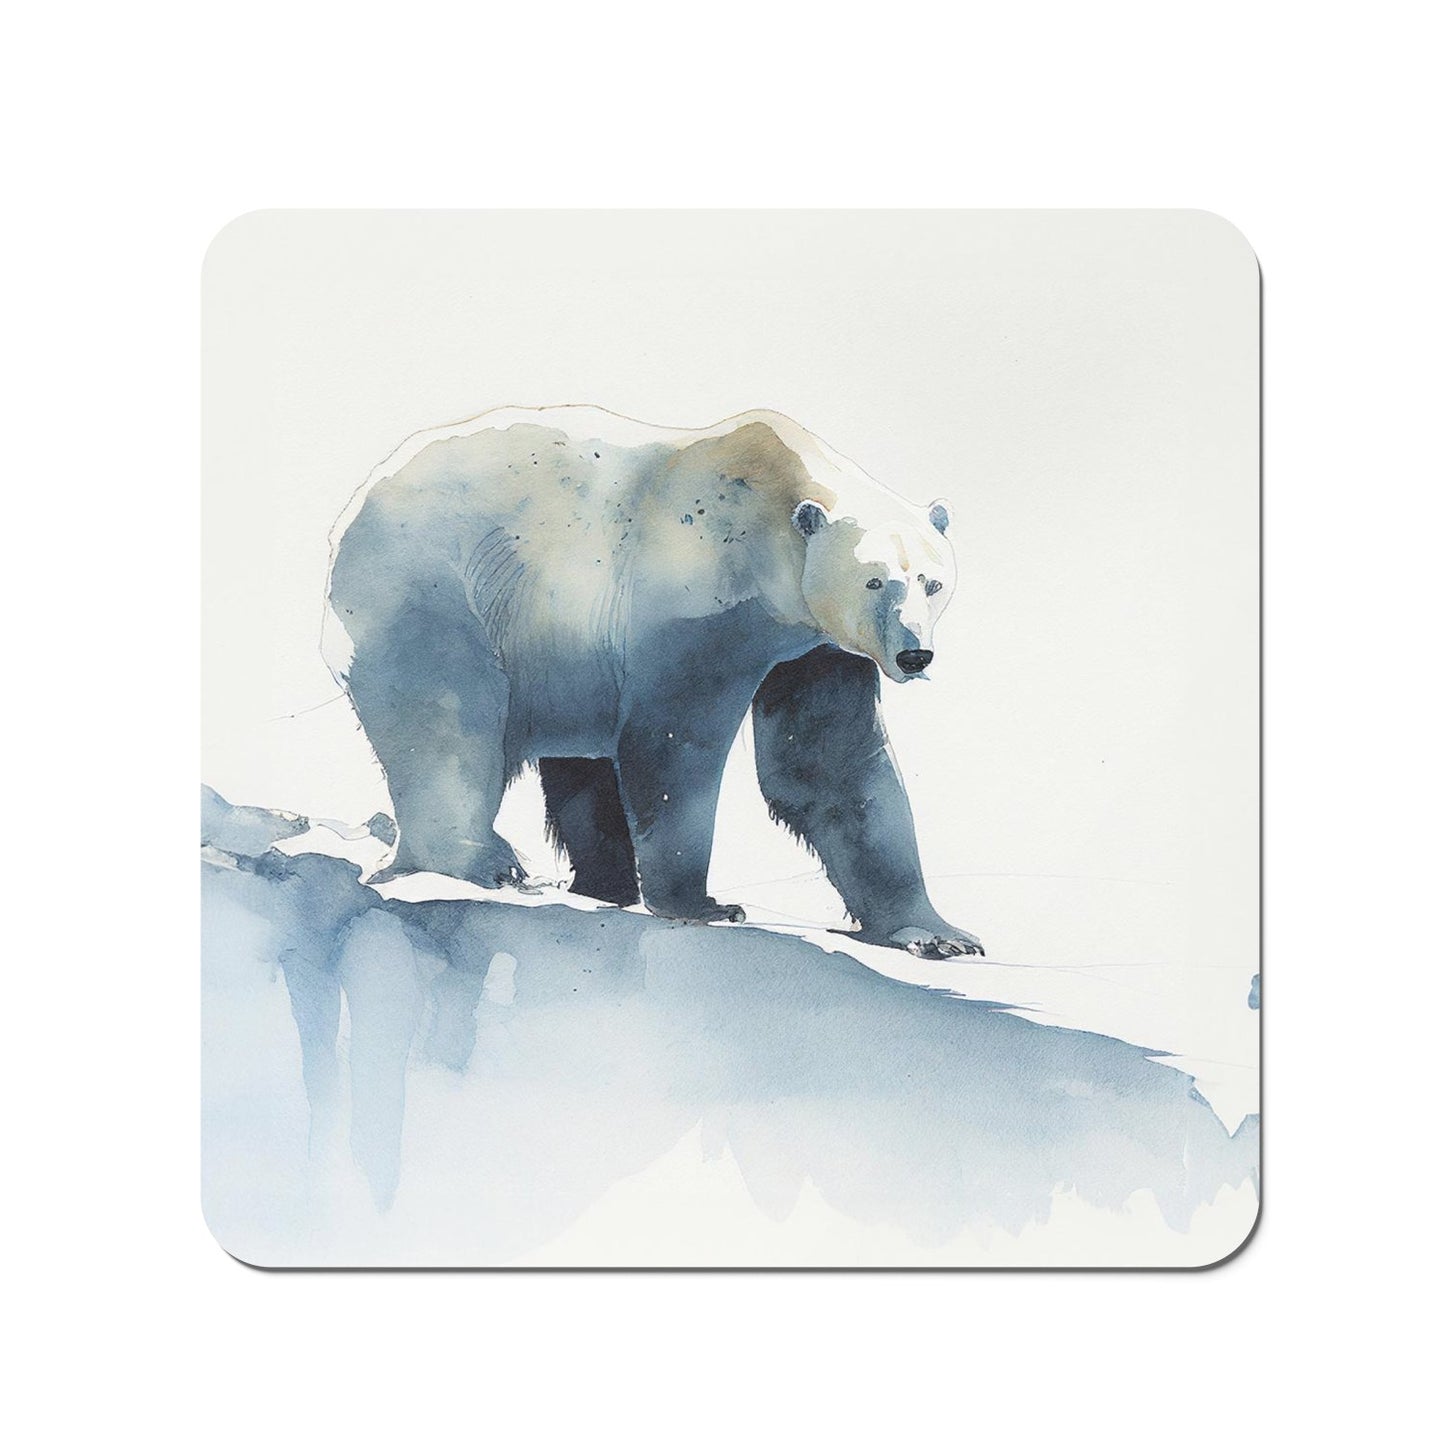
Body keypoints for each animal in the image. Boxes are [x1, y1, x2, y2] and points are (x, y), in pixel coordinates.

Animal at [325, 405, 983, 958]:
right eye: (873, 580)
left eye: (931, 582)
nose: (914, 654)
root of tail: (357, 502)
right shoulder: (698, 604)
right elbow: (675, 744)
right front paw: (705, 903)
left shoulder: (816, 646)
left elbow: (827, 762)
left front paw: (939, 933)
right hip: (434, 586)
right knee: (449, 720)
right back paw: (488, 862)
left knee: (573, 765)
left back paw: (599, 882)